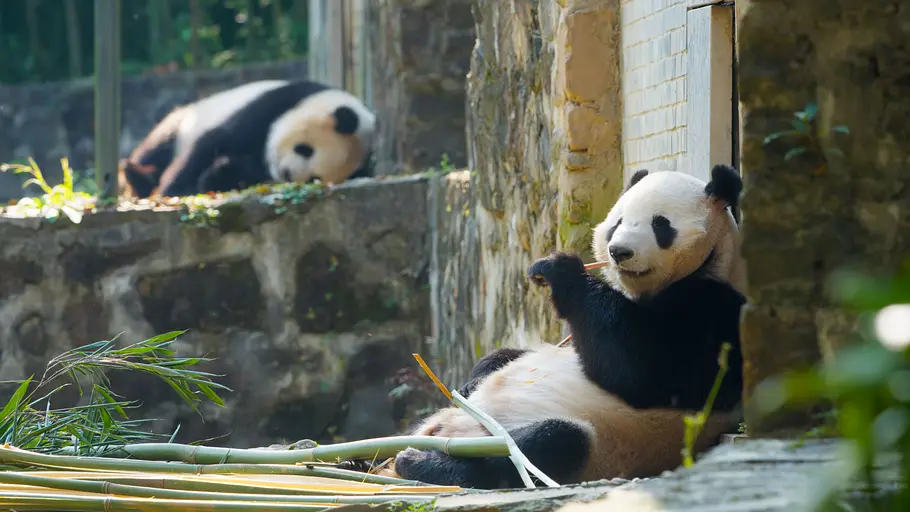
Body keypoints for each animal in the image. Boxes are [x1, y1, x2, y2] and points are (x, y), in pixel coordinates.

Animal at [119, 79, 376, 198]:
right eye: (305, 149)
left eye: (315, 179)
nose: (288, 174)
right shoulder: (274, 104)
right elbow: (215, 141)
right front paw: (177, 188)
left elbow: (245, 173)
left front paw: (220, 172)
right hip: (183, 122)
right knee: (158, 149)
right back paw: (138, 176)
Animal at [368, 165, 748, 489]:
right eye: (618, 222)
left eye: (660, 224)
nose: (619, 251)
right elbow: (511, 354)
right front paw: (472, 378)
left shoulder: (716, 311)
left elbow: (645, 370)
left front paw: (561, 270)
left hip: (591, 440)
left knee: (541, 446)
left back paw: (420, 462)